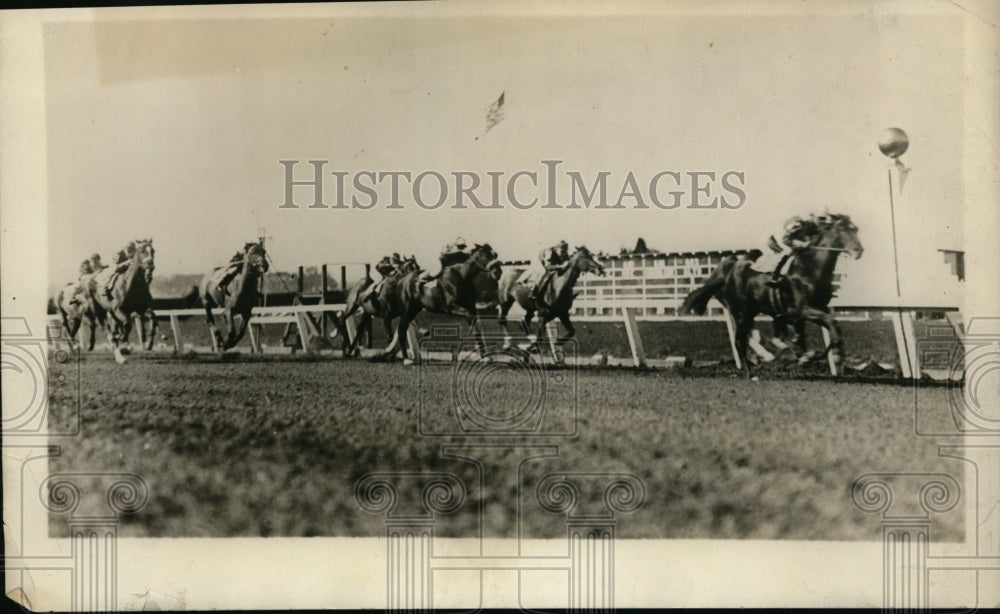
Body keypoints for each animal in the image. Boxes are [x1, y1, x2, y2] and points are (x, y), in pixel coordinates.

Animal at [684, 214, 864, 378]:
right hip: (742, 312)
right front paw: (837, 355)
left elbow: (826, 325)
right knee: (740, 341)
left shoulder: (816, 308)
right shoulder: (801, 309)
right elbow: (830, 321)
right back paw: (751, 372)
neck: (810, 268)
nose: (859, 251)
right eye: (843, 230)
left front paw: (815, 355)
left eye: (855, 229)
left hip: (757, 310)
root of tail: (731, 267)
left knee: (759, 335)